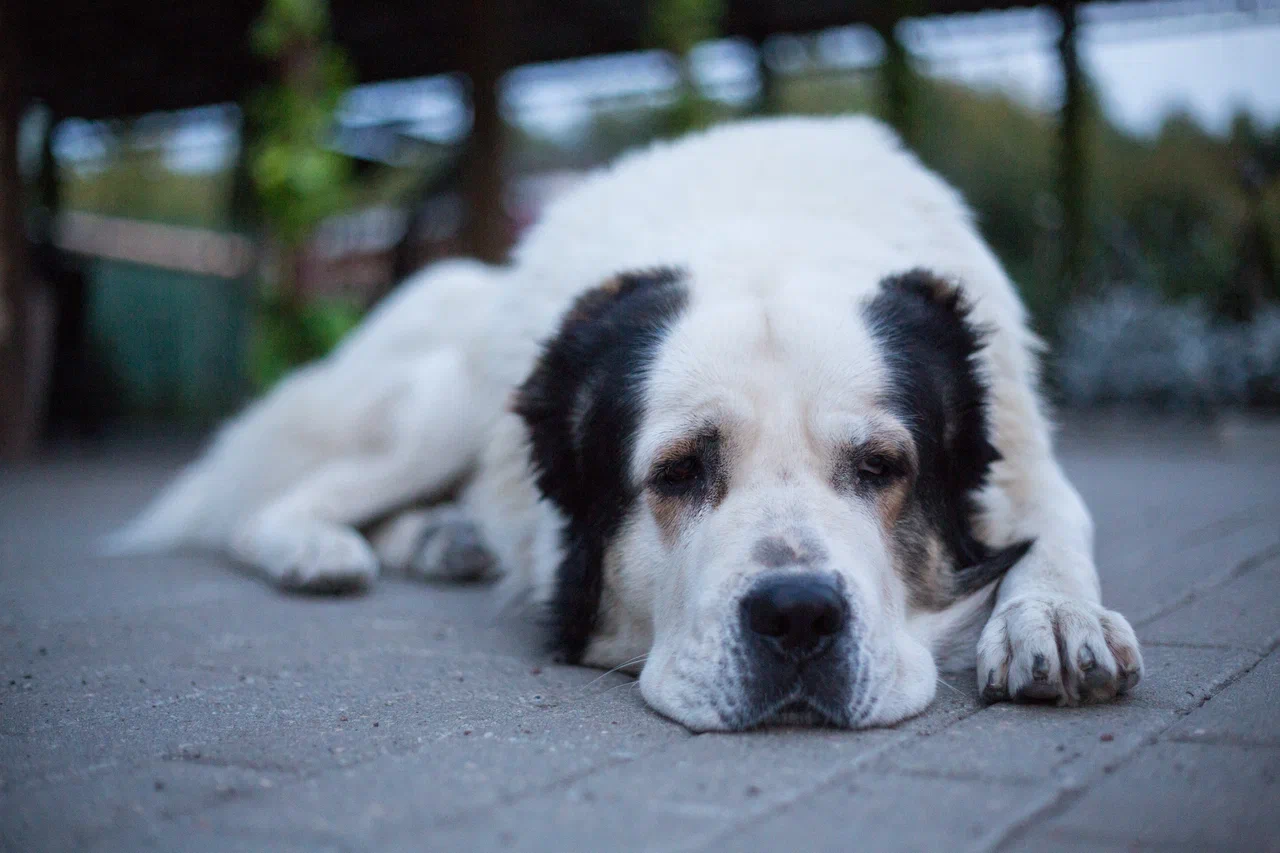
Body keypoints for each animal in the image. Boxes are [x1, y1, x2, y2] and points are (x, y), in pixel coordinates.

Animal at [115, 116, 1146, 732]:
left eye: (881, 467)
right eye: (681, 471)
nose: (799, 614)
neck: (769, 231)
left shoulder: (1024, 450)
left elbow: (1060, 526)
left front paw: (1055, 617)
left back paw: (447, 538)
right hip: (448, 401)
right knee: (267, 501)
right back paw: (320, 550)